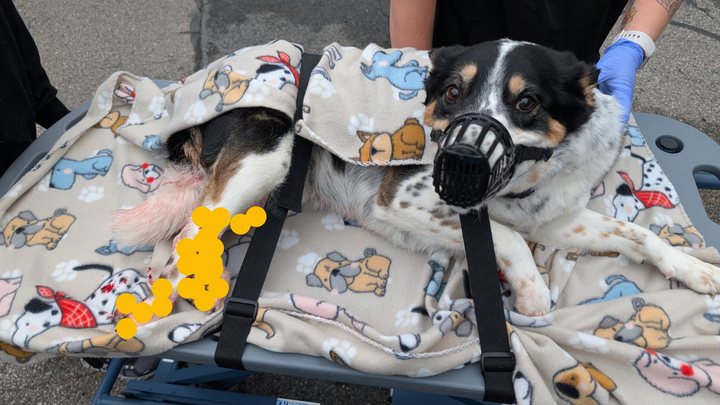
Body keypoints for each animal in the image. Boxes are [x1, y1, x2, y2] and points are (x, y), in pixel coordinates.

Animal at [113, 40, 720, 317]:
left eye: (526, 102)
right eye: (451, 92)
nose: (464, 163)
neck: (524, 177)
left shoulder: (555, 216)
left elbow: (636, 233)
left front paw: (694, 269)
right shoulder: (404, 200)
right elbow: (507, 237)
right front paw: (530, 293)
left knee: (178, 236)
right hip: (267, 159)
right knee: (189, 237)